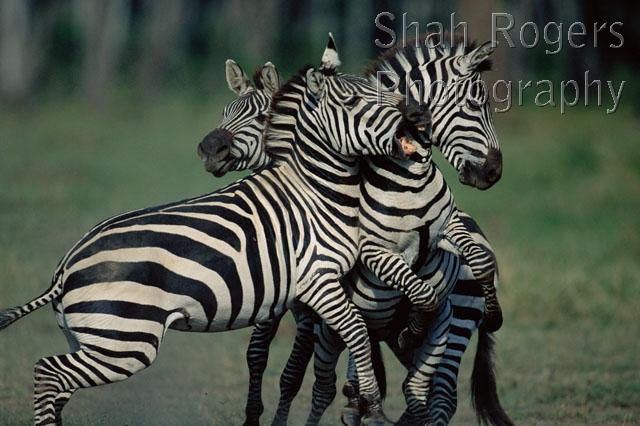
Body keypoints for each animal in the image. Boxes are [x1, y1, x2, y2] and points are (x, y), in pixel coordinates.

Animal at [0, 35, 426, 426]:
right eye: (353, 104)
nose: (412, 114)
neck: (312, 187)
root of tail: (64, 269)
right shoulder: (316, 280)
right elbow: (355, 331)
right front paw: (372, 403)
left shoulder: (291, 293)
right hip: (125, 341)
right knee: (47, 373)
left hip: (92, 338)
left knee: (56, 383)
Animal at [198, 36, 508, 426]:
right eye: (226, 112)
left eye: (260, 118)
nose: (209, 149)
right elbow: (261, 355)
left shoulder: (313, 306)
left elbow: (294, 372)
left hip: (455, 325)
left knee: (440, 392)